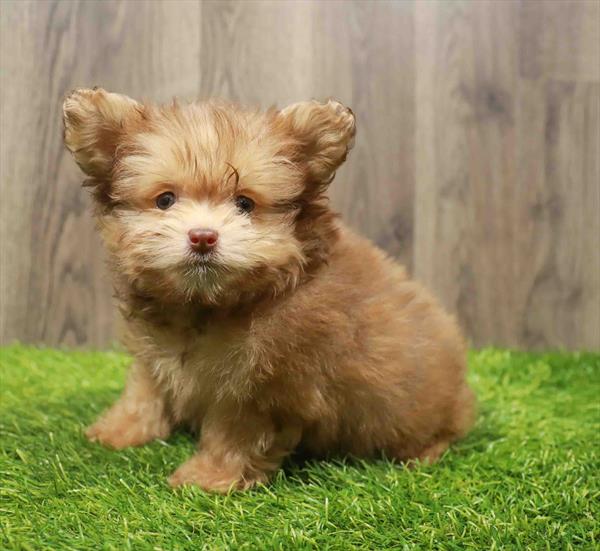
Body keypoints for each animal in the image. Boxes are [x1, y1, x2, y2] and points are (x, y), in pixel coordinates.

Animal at [61, 88, 474, 494]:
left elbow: (234, 434)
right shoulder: (154, 352)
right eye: (165, 200)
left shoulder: (262, 390)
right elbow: (145, 389)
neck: (210, 305)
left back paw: (424, 454)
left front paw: (208, 477)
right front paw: (119, 429)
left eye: (245, 203)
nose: (203, 237)